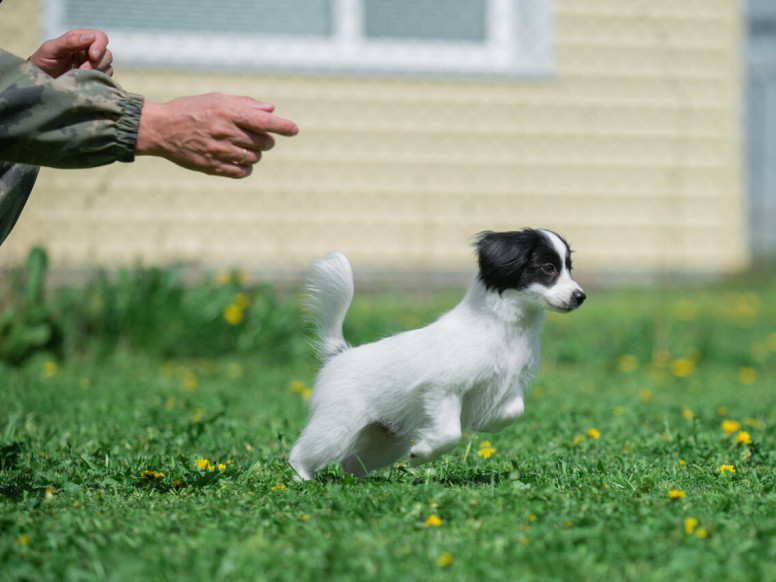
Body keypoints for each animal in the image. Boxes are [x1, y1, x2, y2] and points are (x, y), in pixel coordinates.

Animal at [288, 227, 584, 480]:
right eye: (548, 268)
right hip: (338, 425)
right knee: (302, 453)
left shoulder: (508, 384)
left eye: (569, 268)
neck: (503, 328)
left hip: (387, 441)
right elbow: (450, 433)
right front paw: (422, 454)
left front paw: (485, 423)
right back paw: (303, 479)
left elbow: (513, 411)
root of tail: (339, 354)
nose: (580, 296)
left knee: (350, 463)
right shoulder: (443, 389)